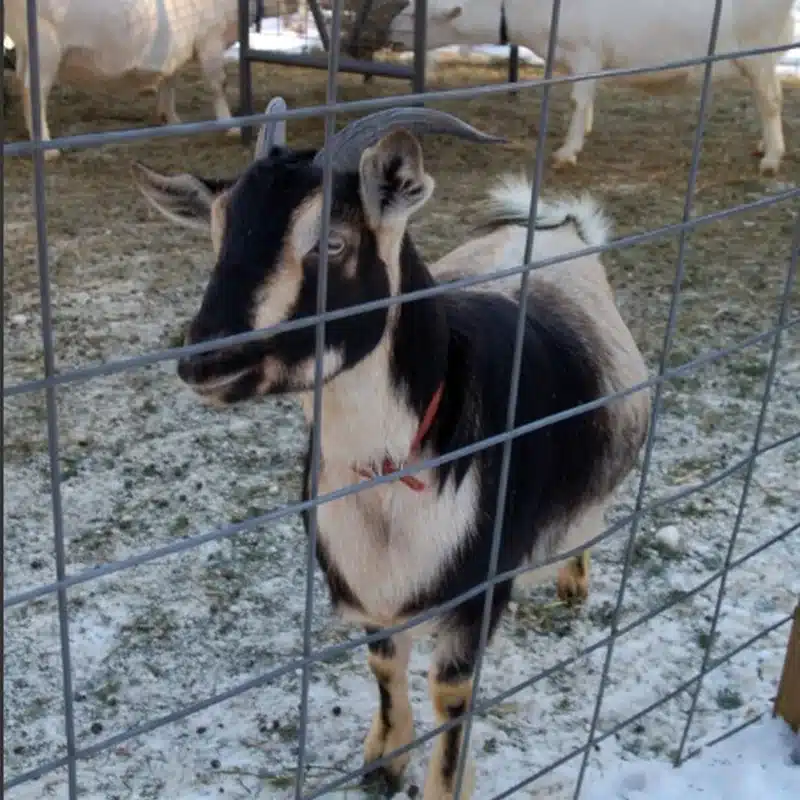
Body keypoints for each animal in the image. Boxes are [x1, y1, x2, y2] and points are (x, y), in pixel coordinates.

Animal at [4, 0, 240, 159]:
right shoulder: (210, 37)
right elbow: (218, 84)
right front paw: (231, 127)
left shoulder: (176, 48)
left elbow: (169, 80)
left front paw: (171, 120)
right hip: (45, 46)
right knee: (33, 91)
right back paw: (48, 149)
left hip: (26, 47)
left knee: (22, 82)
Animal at [131, 99, 651, 798]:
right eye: (215, 235)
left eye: (332, 241)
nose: (206, 361)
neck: (388, 474)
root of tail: (557, 228)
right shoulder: (371, 591)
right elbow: (382, 665)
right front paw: (384, 758)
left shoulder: (478, 589)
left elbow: (452, 694)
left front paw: (442, 782)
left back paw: (573, 578)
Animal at [380, 0, 795, 174]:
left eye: (417, 14)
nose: (390, 34)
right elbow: (586, 99)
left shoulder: (585, 50)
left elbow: (579, 100)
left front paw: (567, 152)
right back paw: (764, 146)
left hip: (756, 48)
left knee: (771, 99)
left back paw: (773, 158)